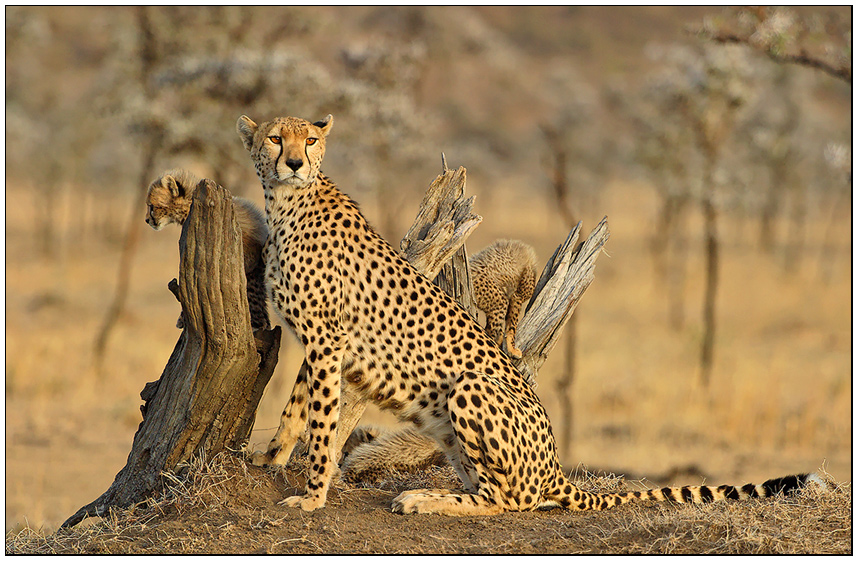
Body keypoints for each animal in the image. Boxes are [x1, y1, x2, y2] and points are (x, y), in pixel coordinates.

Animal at [234, 111, 816, 516]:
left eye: (310, 140)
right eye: (275, 138)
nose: (294, 162)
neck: (288, 204)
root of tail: (555, 463)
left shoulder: (328, 338)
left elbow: (322, 418)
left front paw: (312, 496)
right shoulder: (319, 341)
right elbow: (297, 409)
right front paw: (271, 458)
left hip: (471, 387)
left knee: (510, 501)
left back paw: (422, 500)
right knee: (496, 489)